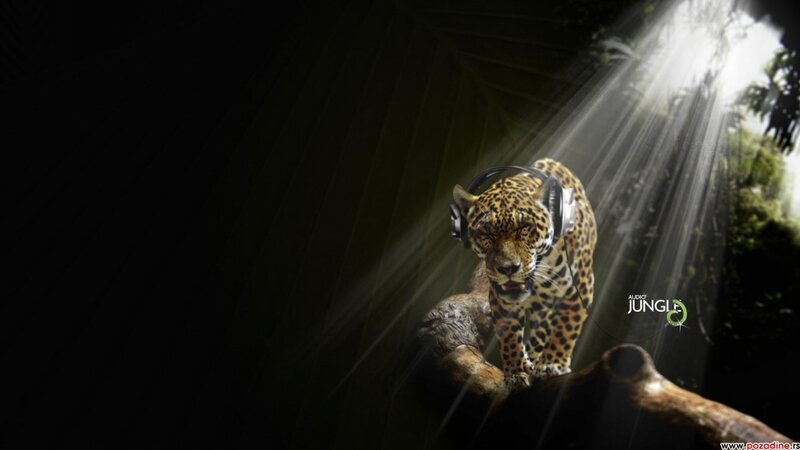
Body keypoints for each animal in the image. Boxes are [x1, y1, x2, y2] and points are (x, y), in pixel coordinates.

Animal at [452, 158, 596, 391]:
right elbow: (509, 335)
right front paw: (517, 372)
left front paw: (552, 364)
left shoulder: (581, 286)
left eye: (524, 227)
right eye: (486, 233)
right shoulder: (500, 297)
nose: (508, 268)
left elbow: (565, 326)